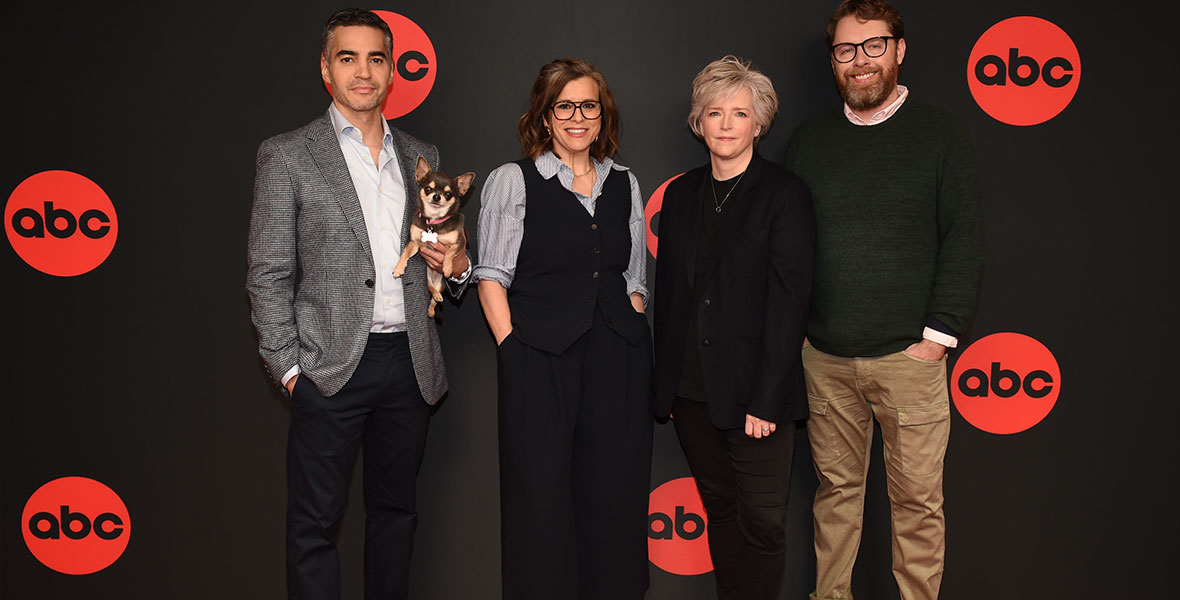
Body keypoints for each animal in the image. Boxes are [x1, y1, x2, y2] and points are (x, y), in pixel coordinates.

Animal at [394, 155, 471, 318]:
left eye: (448, 194)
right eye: (428, 189)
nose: (436, 196)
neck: (434, 221)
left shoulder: (459, 242)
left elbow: (449, 252)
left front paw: (447, 268)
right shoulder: (415, 243)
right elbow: (405, 253)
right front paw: (398, 268)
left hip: (442, 284)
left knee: (435, 299)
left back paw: (432, 307)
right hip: (428, 279)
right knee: (431, 289)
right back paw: (433, 299)